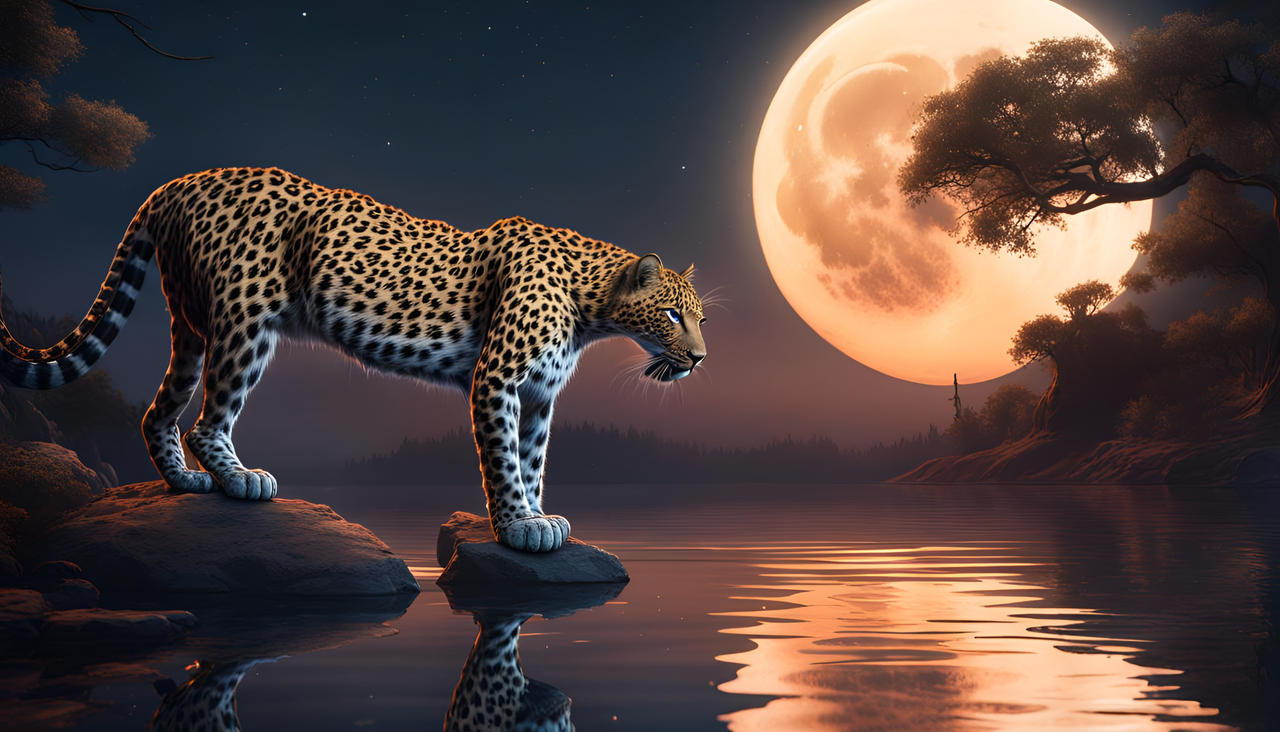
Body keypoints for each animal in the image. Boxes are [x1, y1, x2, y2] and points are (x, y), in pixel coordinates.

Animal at [0, 167, 708, 552]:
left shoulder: (538, 396)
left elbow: (530, 460)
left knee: (159, 411)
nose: (701, 358)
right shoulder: (498, 380)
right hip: (244, 321)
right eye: (674, 315)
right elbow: (504, 462)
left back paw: (185, 484)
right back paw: (241, 480)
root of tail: (178, 181)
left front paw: (536, 517)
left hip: (192, 324)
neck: (592, 309)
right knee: (207, 419)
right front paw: (515, 527)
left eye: (701, 316)